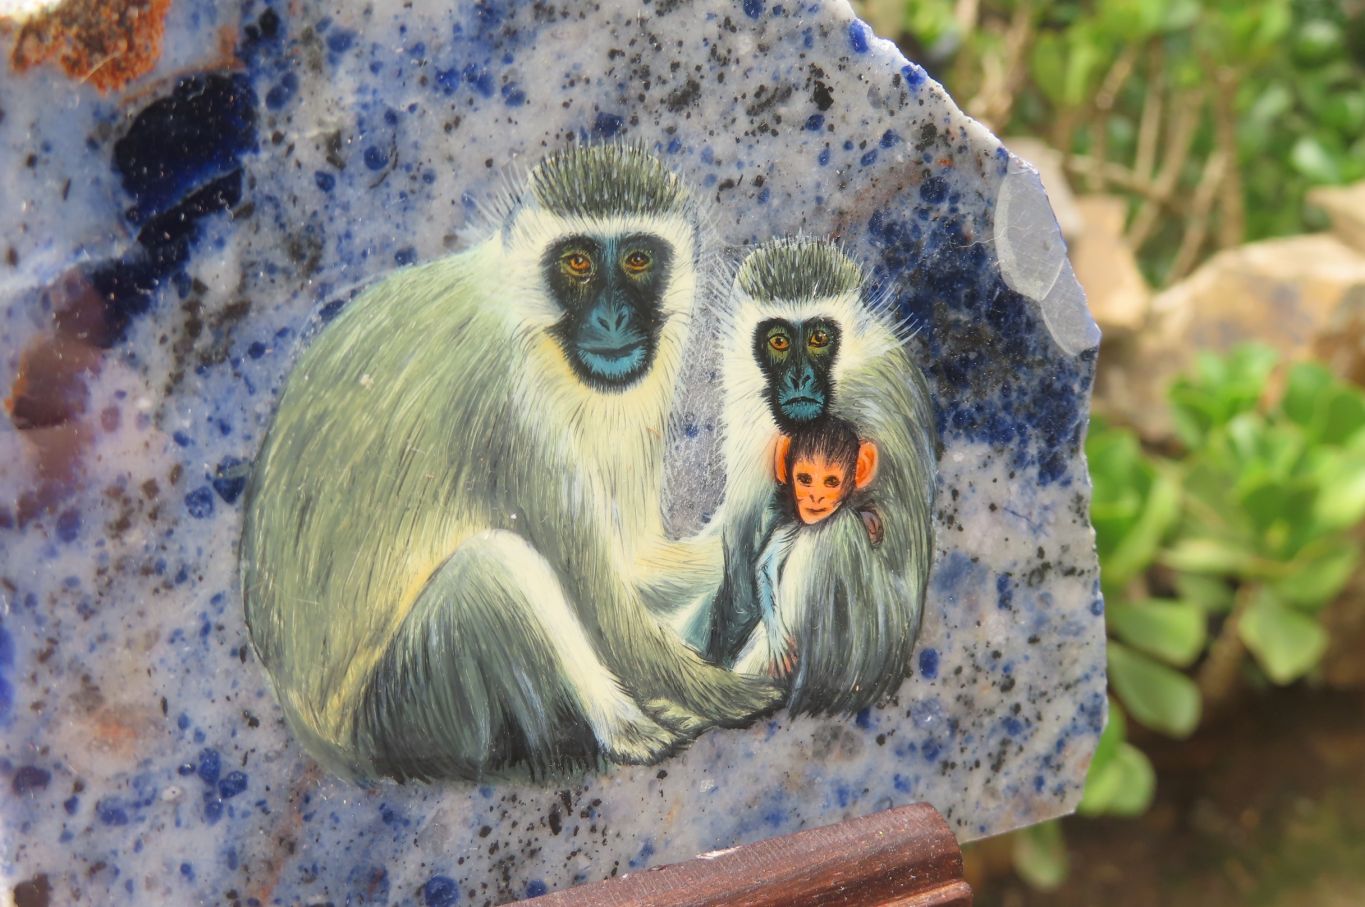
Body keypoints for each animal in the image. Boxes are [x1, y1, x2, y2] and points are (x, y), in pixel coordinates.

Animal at [240, 145, 782, 783]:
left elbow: (633, 563)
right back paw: (630, 731)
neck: (535, 329)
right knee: (491, 567)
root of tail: (326, 743)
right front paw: (730, 695)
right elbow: (604, 602)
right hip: (408, 712)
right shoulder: (509, 404)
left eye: (638, 259)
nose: (613, 319)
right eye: (577, 262)